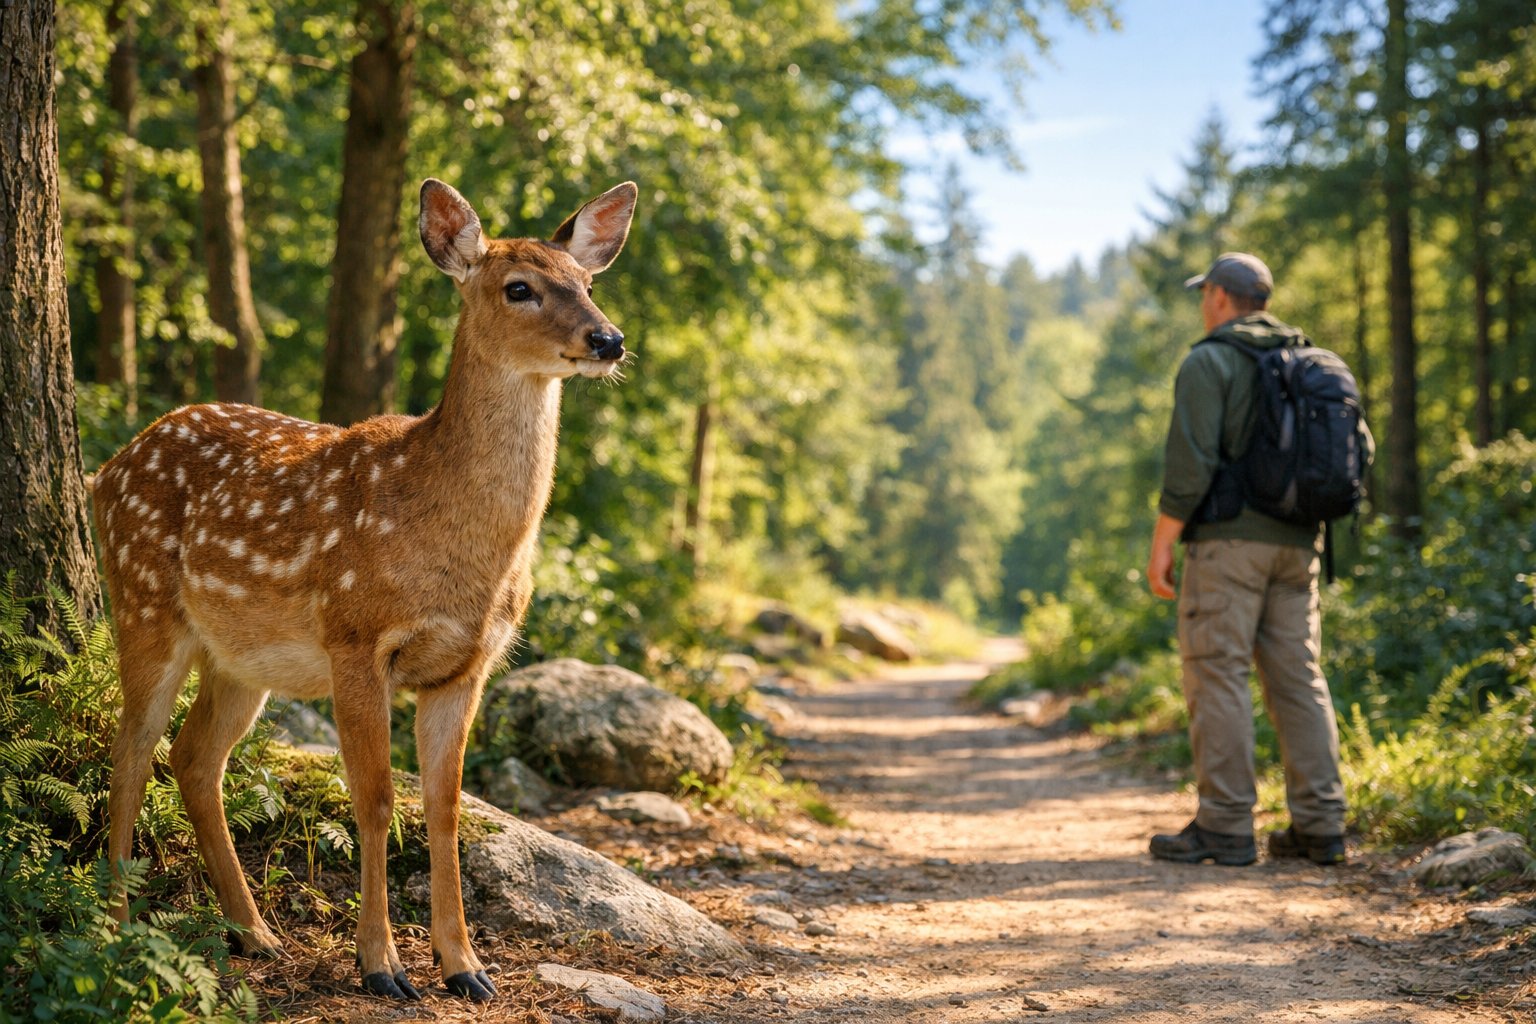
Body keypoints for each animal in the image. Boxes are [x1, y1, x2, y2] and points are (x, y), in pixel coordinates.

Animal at [93, 177, 637, 1002]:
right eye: (519, 287)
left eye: (588, 283)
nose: (608, 340)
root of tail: (104, 471)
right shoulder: (356, 636)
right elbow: (376, 800)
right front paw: (381, 965)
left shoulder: (465, 667)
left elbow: (444, 808)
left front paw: (465, 967)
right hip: (143, 601)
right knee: (129, 752)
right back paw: (119, 926)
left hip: (241, 658)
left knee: (192, 757)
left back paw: (254, 932)